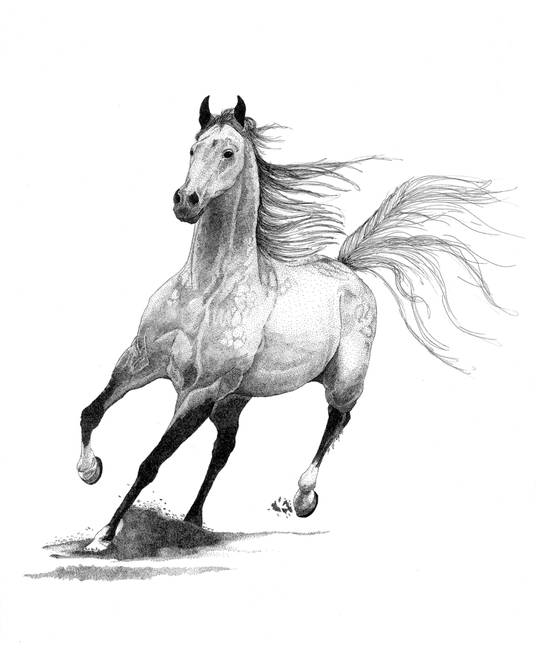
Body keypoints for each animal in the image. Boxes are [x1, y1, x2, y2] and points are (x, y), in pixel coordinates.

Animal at [78, 96, 503, 552]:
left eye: (228, 152)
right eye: (193, 149)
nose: (185, 201)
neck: (206, 290)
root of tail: (349, 270)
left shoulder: (200, 392)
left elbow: (150, 463)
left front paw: (103, 537)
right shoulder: (141, 360)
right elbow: (91, 412)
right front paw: (89, 471)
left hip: (342, 380)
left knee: (338, 420)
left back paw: (303, 497)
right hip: (236, 398)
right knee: (224, 448)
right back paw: (193, 518)